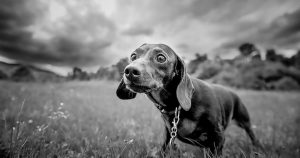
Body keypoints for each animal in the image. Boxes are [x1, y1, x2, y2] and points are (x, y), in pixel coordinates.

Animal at [115, 43, 260, 156]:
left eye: (161, 58)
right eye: (133, 56)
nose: (130, 71)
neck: (176, 107)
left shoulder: (218, 137)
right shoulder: (168, 135)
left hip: (244, 120)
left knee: (252, 135)